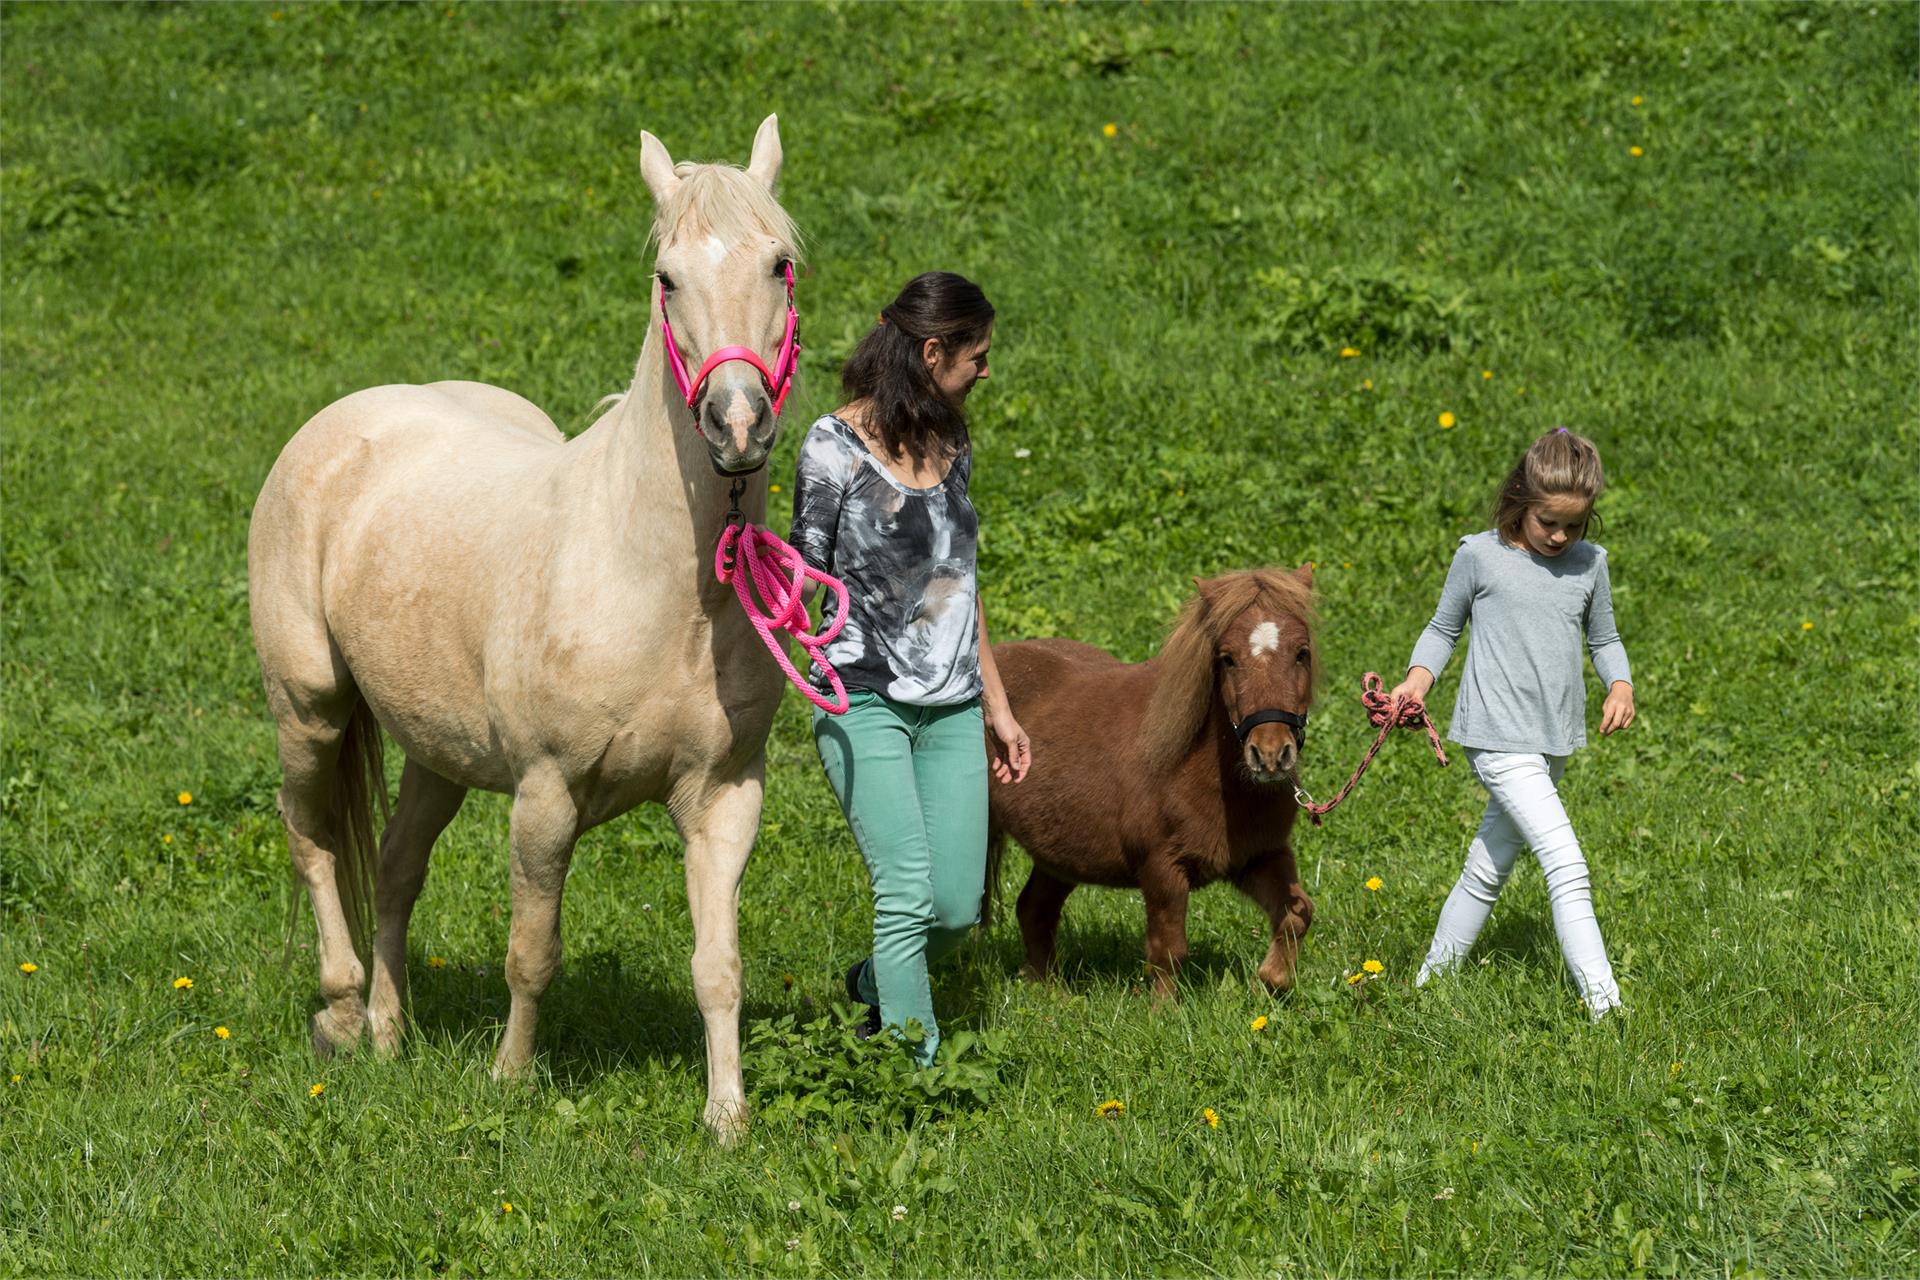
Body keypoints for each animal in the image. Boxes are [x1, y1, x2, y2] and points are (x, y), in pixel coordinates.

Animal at [249, 117, 802, 1143]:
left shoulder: (723, 799)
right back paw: (341, 1011)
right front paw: (510, 1080)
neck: (654, 585)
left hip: (437, 750)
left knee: (395, 867)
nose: (737, 424)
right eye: (667, 277)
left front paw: (726, 1118)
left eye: (779, 265)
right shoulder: (546, 797)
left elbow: (719, 967)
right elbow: (531, 951)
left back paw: (387, 1029)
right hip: (308, 709)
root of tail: (342, 419)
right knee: (309, 834)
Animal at [990, 568, 1320, 997]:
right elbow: (1168, 950)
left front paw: (1269, 981)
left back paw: (1050, 993)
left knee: (1034, 910)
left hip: (1058, 856)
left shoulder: (1260, 857)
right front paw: (1164, 1011)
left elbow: (1297, 913)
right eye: (1227, 658)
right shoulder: (1162, 869)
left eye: (1302, 652)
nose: (1269, 753)